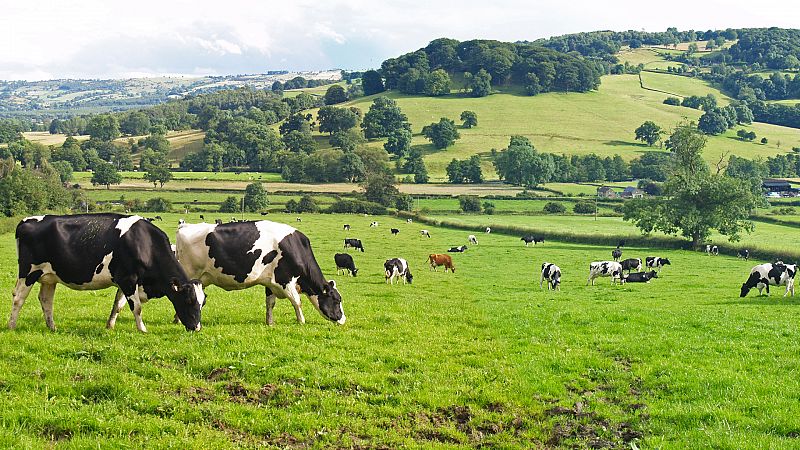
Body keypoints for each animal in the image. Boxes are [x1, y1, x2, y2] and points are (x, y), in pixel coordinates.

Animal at [11, 213, 205, 332]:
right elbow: (137, 307)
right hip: (29, 272)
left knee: (46, 300)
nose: (196, 327)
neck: (145, 243)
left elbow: (117, 305)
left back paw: (52, 327)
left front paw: (110, 326)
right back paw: (11, 326)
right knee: (18, 298)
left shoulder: (125, 281)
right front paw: (142, 329)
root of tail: (25, 221)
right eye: (188, 300)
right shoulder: (127, 279)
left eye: (202, 303)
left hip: (49, 277)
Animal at [177, 221, 344, 324]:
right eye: (337, 300)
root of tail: (185, 226)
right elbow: (297, 301)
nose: (343, 320)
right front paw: (301, 321)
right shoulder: (286, 279)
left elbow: (270, 303)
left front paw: (270, 322)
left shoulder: (270, 282)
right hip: (190, 273)